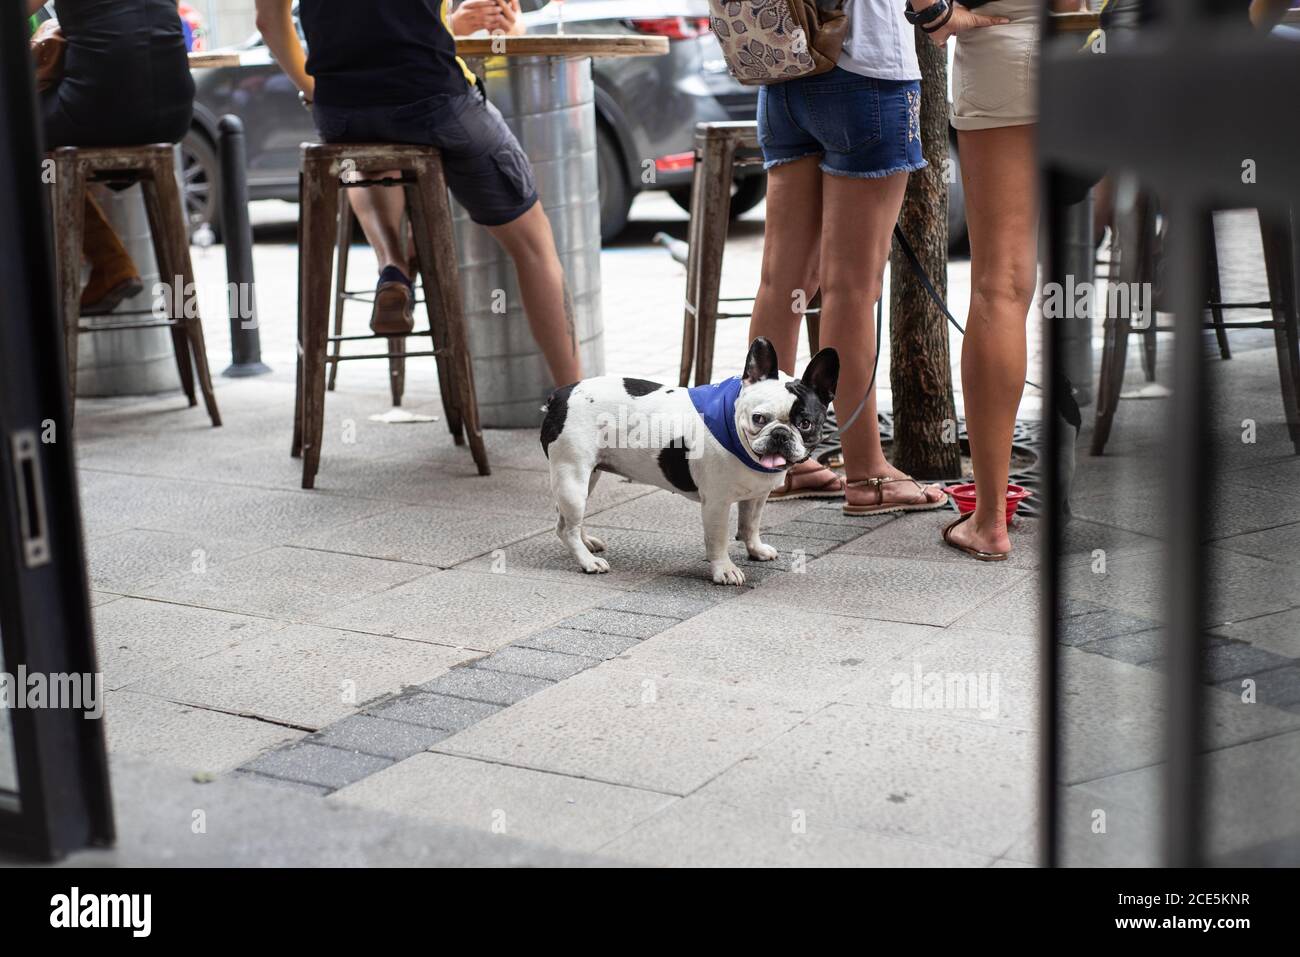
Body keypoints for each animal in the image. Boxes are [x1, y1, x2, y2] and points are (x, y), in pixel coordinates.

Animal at [540, 340, 837, 587]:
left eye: (805, 423)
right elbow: (718, 539)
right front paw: (724, 570)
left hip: (588, 476)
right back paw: (587, 561)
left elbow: (750, 525)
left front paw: (756, 550)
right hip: (573, 476)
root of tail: (559, 396)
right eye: (759, 418)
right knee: (566, 527)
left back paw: (587, 543)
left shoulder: (756, 496)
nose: (780, 434)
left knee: (566, 517)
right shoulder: (716, 503)